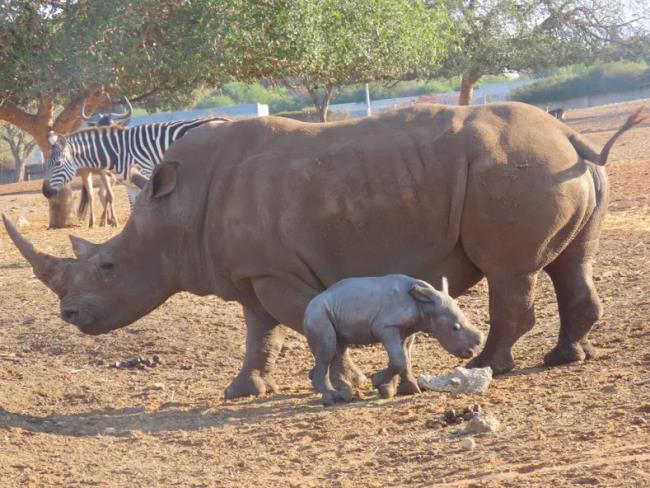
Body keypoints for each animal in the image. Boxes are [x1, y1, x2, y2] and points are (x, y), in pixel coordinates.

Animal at [41, 116, 229, 202]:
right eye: (45, 165)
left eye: (58, 163)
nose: (45, 192)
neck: (118, 152)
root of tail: (225, 119)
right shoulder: (130, 185)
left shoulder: (147, 172)